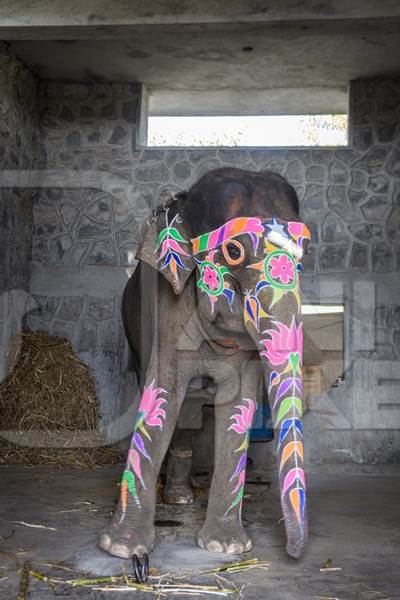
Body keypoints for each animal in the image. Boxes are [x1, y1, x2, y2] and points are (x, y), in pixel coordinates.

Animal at [98, 168, 310, 564]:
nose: (293, 553)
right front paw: (122, 548)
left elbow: (238, 403)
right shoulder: (165, 308)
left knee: (193, 406)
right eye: (233, 251)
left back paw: (181, 496)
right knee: (176, 401)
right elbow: (163, 391)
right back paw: (176, 497)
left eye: (302, 256)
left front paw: (226, 547)